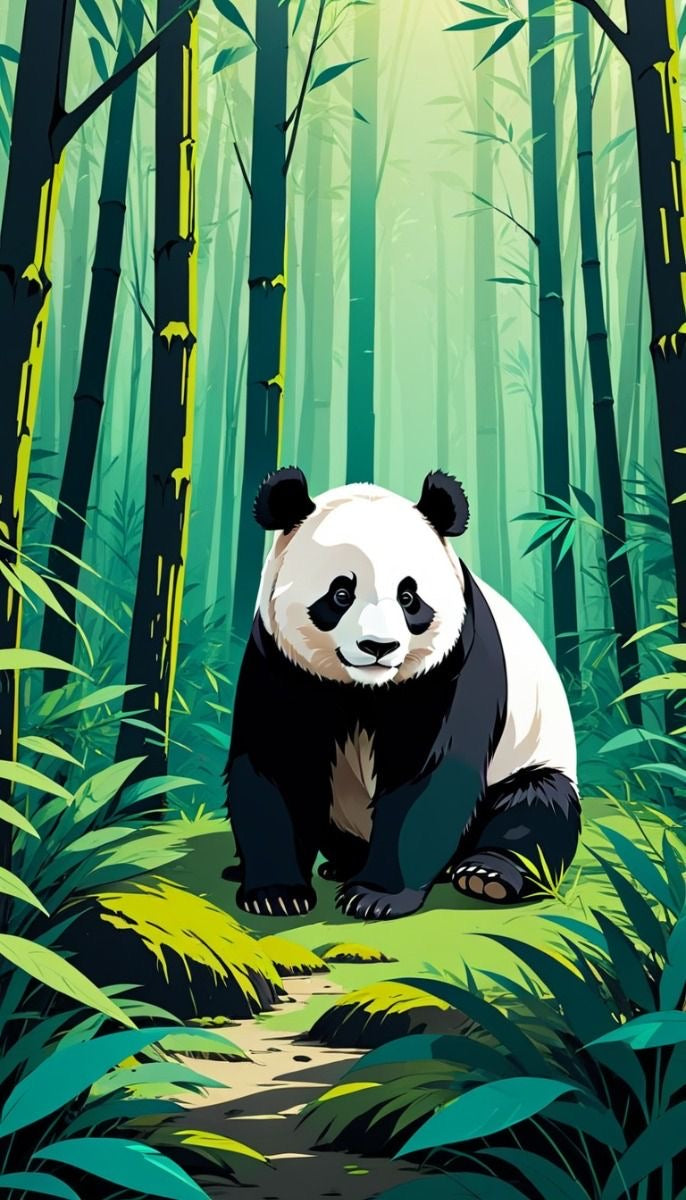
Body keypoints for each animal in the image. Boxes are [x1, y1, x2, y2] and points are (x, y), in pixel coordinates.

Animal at [224, 467, 580, 921]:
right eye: (341, 594)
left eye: (409, 597)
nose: (379, 646)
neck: (365, 687)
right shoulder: (280, 662)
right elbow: (278, 761)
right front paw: (276, 893)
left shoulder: (452, 664)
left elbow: (430, 775)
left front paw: (376, 896)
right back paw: (335, 865)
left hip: (534, 756)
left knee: (538, 806)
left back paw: (487, 874)